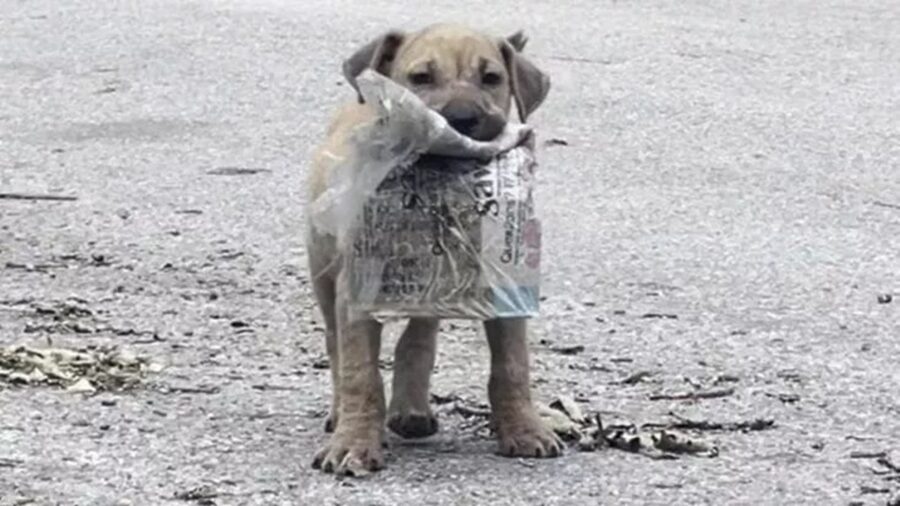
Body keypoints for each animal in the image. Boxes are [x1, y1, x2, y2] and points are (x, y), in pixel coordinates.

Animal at [306, 22, 560, 474]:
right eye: (421, 77)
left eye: (491, 78)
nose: (461, 119)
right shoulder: (356, 290)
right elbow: (359, 372)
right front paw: (353, 442)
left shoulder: (506, 287)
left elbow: (512, 365)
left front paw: (525, 429)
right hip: (323, 271)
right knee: (335, 346)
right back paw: (342, 414)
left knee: (418, 337)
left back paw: (411, 409)